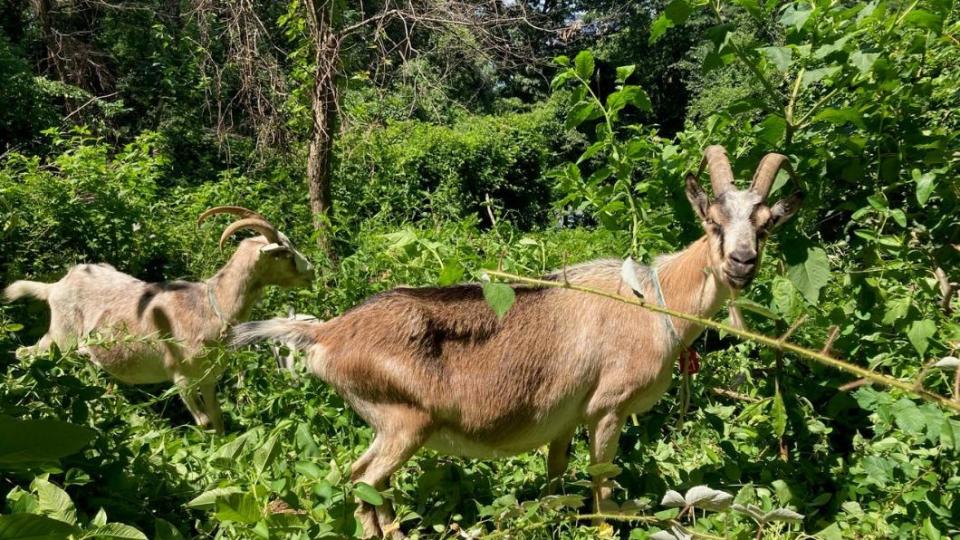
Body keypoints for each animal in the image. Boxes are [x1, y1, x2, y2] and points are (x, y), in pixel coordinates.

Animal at [7, 207, 316, 434]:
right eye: (284, 253)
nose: (311, 270)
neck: (208, 306)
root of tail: (54, 287)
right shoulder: (182, 378)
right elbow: (204, 422)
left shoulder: (208, 378)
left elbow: (217, 419)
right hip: (61, 337)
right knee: (24, 352)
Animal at [232, 147, 804, 536]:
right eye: (713, 223)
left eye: (765, 226)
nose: (741, 262)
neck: (653, 302)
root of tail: (324, 333)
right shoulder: (608, 407)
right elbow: (602, 488)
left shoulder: (564, 416)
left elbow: (555, 479)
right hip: (404, 422)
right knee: (363, 480)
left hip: (388, 425)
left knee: (363, 480)